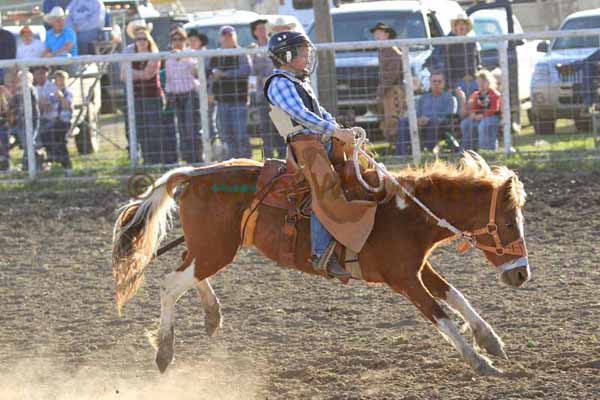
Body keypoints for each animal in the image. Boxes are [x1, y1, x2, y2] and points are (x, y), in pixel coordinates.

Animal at [112, 152, 528, 376]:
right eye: (510, 223)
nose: (522, 274)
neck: (404, 212)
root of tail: (193, 175)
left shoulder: (417, 268)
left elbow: (456, 295)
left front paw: (491, 341)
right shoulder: (403, 279)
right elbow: (440, 314)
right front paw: (479, 361)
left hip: (211, 248)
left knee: (188, 272)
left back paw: (212, 315)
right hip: (216, 249)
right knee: (170, 285)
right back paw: (164, 354)